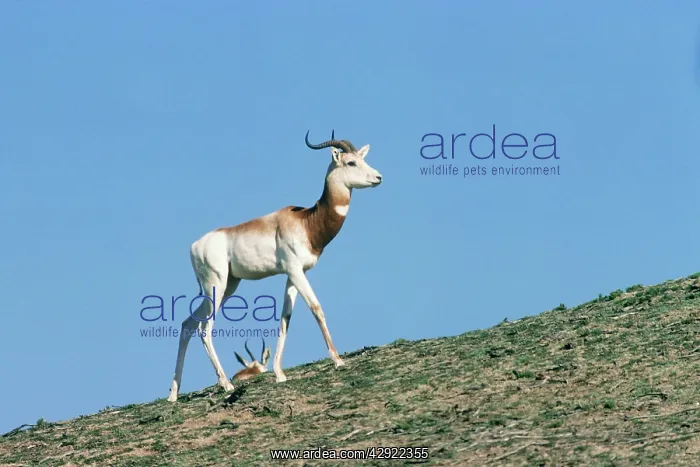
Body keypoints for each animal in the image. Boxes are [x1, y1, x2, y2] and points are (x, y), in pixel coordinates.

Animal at [167, 130, 383, 402]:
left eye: (362, 159)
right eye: (351, 163)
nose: (378, 177)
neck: (307, 222)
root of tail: (196, 245)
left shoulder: (293, 274)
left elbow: (285, 318)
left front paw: (279, 374)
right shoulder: (295, 270)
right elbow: (316, 308)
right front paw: (337, 360)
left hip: (228, 286)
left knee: (187, 324)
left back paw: (173, 394)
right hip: (215, 285)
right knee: (205, 328)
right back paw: (226, 384)